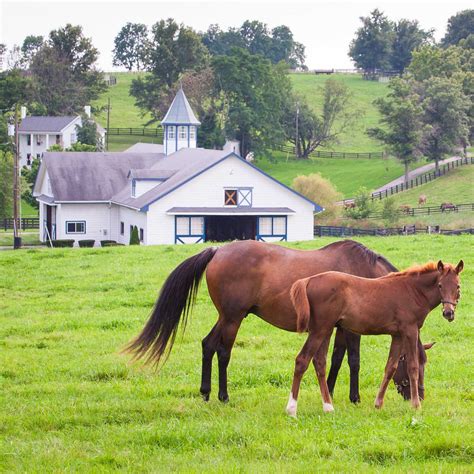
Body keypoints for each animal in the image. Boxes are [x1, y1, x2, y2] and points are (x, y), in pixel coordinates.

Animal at [124, 241, 428, 404]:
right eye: (417, 365)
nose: (419, 395)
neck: (366, 275)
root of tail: (218, 251)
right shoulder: (353, 329)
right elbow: (353, 361)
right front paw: (354, 398)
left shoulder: (339, 328)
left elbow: (337, 359)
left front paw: (328, 391)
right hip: (233, 318)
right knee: (222, 351)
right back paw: (223, 395)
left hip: (225, 317)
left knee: (207, 345)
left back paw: (206, 392)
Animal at [286, 260, 464, 414]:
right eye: (440, 285)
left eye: (458, 286)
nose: (448, 313)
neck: (412, 291)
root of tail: (308, 280)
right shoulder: (410, 330)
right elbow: (411, 366)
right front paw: (416, 405)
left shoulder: (397, 335)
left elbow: (390, 367)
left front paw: (378, 403)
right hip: (319, 330)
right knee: (302, 360)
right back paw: (292, 409)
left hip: (326, 330)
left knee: (319, 362)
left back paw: (328, 407)